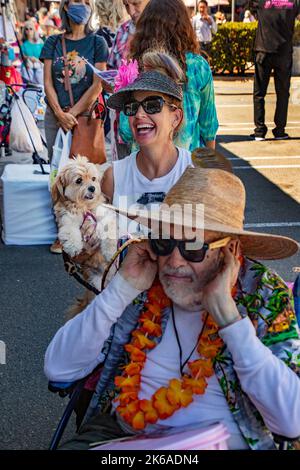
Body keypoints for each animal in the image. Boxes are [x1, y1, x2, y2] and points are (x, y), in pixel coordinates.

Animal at [51, 156, 117, 300]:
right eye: (79, 180)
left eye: (93, 179)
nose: (92, 188)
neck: (85, 207)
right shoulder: (67, 218)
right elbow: (69, 231)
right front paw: (73, 245)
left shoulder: (105, 214)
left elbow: (109, 230)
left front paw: (110, 250)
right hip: (96, 282)